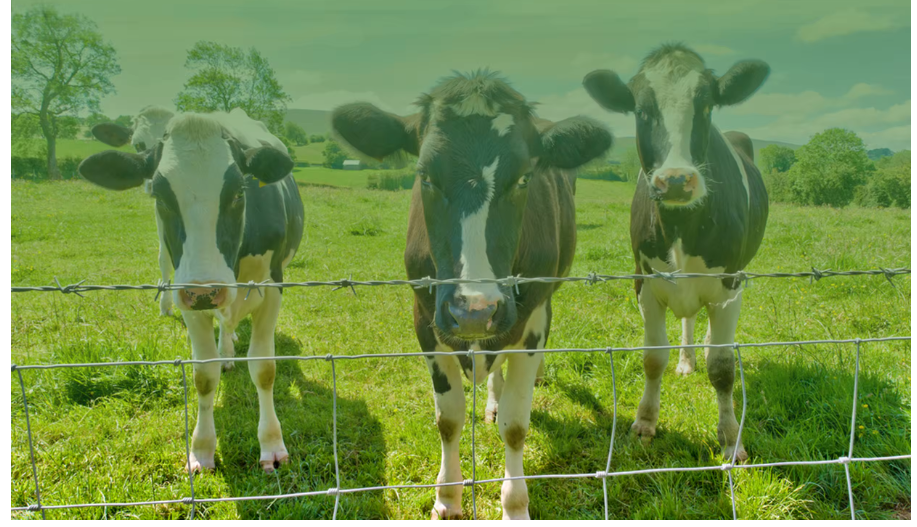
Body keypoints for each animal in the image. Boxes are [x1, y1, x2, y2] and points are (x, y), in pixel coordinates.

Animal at [79, 108, 305, 473]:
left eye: (239, 193)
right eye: (160, 196)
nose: (206, 290)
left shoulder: (272, 287)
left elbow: (264, 369)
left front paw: (271, 444)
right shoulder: (187, 295)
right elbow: (203, 375)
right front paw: (201, 449)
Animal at [332, 71, 612, 520]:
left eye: (524, 177)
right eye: (425, 175)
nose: (474, 312)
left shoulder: (531, 320)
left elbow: (516, 425)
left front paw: (515, 506)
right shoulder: (425, 317)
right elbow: (448, 419)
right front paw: (447, 497)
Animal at [583, 43, 769, 462]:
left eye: (707, 105)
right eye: (640, 109)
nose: (677, 180)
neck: (682, 227)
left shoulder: (730, 285)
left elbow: (722, 366)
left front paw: (731, 438)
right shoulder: (645, 282)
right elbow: (653, 358)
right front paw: (645, 422)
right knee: (687, 319)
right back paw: (686, 361)